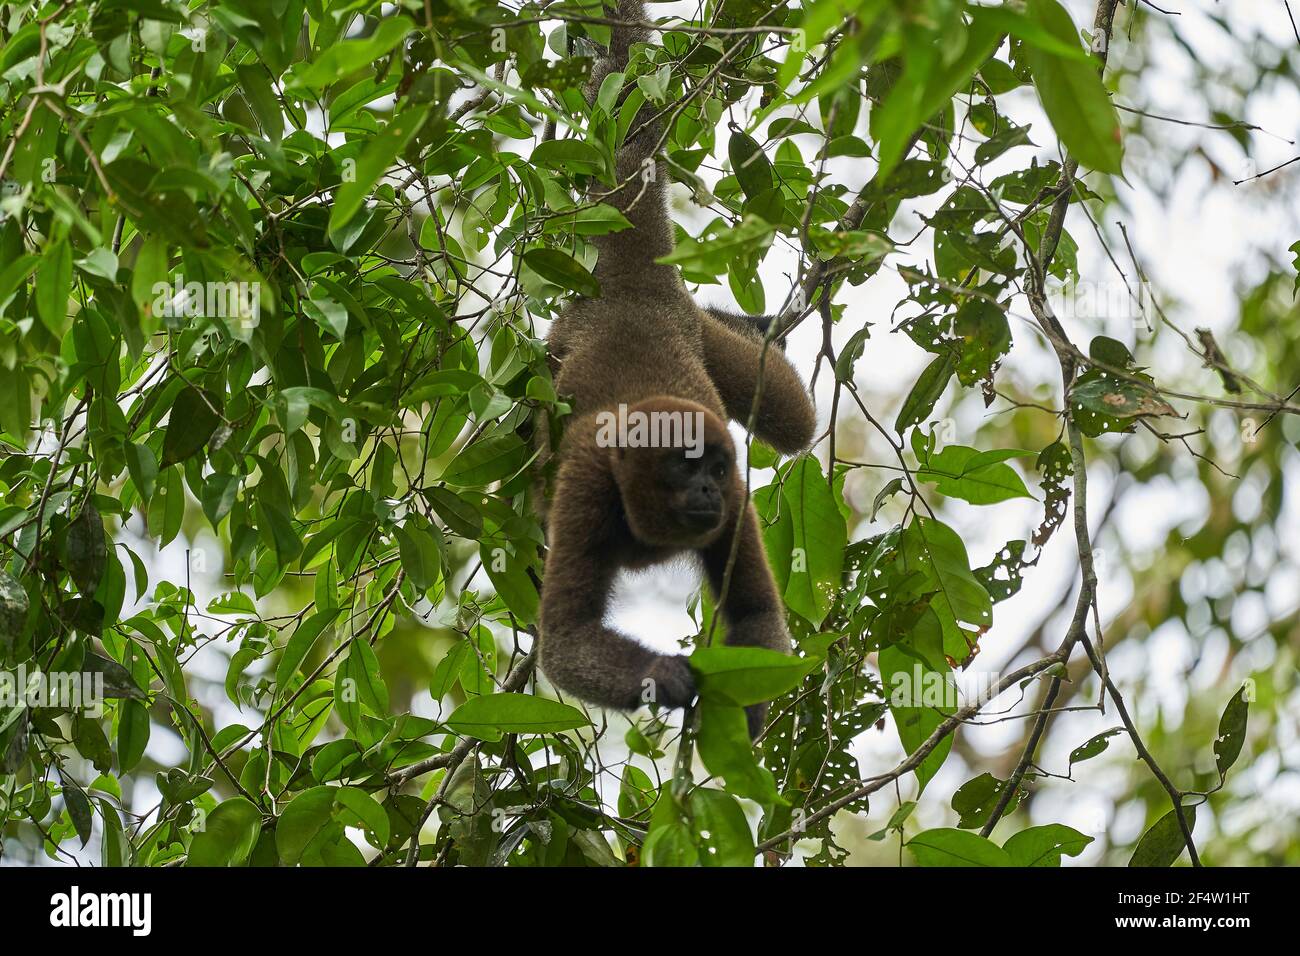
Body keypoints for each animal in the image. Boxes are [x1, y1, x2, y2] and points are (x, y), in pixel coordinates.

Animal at [535, 0, 811, 738]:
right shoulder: (588, 486)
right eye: (687, 465)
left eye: (716, 467)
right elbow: (565, 640)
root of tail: (632, 292)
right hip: (561, 341)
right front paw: (667, 676)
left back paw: (755, 328)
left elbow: (755, 613)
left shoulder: (737, 503)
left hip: (690, 330)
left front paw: (743, 712)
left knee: (795, 422)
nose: (710, 488)